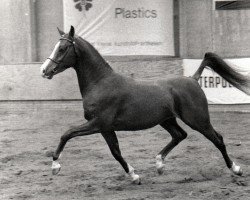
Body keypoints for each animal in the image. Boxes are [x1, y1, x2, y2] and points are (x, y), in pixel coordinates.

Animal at [40, 26, 249, 184]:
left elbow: (67, 133)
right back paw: (159, 164)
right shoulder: (105, 128)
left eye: (62, 48)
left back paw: (236, 169)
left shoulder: (98, 124)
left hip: (197, 120)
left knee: (217, 139)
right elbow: (116, 152)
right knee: (180, 135)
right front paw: (134, 176)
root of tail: (193, 79)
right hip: (167, 120)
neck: (100, 83)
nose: (44, 70)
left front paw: (55, 166)